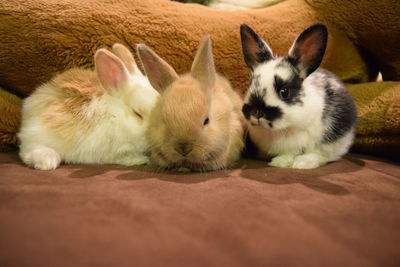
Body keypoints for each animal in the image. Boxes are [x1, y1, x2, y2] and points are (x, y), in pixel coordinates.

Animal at [239, 23, 358, 170]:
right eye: (251, 84)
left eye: (284, 92)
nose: (257, 113)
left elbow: (302, 153)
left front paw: (285, 163)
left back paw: (303, 163)